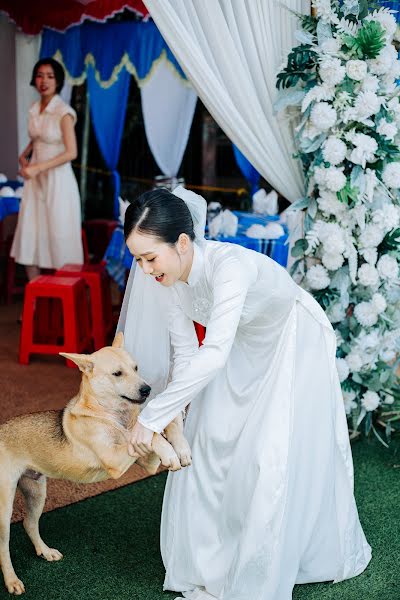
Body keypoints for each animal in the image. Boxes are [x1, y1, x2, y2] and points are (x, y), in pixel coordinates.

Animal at [0, 332, 191, 596]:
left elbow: (160, 426)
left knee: (29, 523)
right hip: (5, 506)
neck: (113, 416)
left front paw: (179, 446)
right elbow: (150, 435)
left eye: (136, 368)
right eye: (117, 373)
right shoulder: (115, 460)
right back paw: (12, 581)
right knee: (4, 544)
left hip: (36, 491)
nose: (147, 389)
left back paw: (45, 552)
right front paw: (170, 451)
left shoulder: (146, 462)